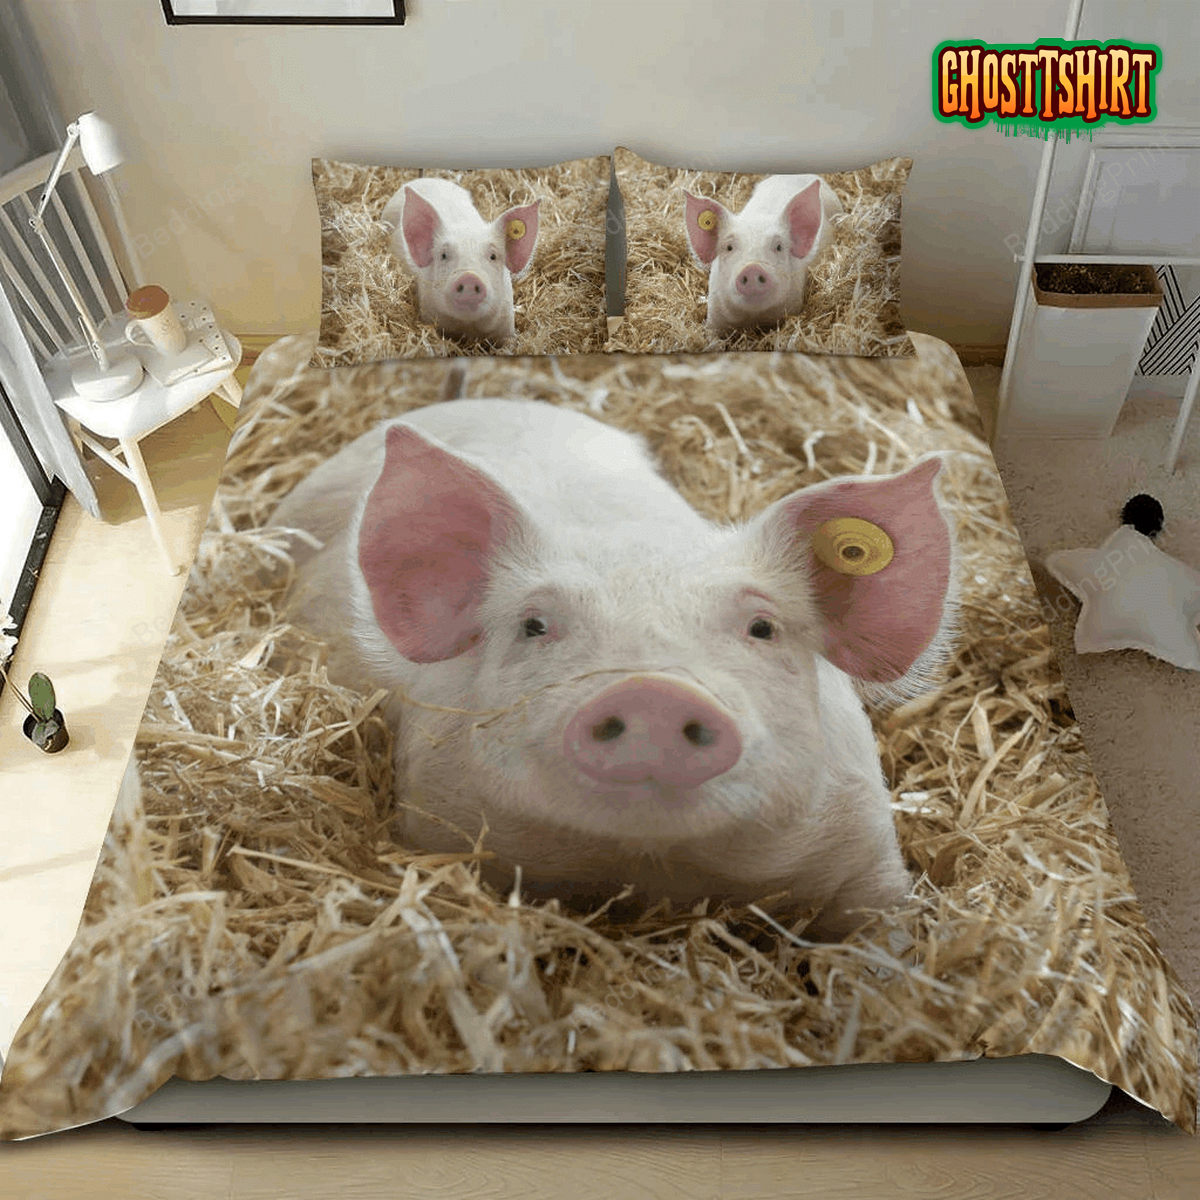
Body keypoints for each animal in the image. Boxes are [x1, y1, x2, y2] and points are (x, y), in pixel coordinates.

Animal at [272, 397, 956, 939]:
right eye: (534, 625)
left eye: (762, 628)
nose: (654, 691)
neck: (648, 866)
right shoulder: (439, 821)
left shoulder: (868, 852)